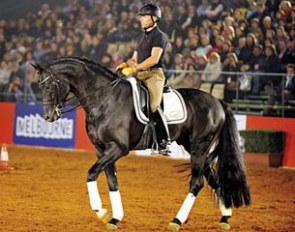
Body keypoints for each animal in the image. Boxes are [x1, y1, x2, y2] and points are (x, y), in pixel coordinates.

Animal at [32, 56, 251, 232]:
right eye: (39, 87)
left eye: (50, 86)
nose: (49, 116)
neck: (105, 99)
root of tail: (218, 101)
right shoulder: (102, 150)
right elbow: (112, 182)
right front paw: (114, 218)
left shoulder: (118, 148)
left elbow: (91, 173)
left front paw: (100, 211)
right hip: (196, 149)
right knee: (213, 179)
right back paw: (225, 217)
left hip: (199, 147)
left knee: (197, 183)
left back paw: (177, 221)